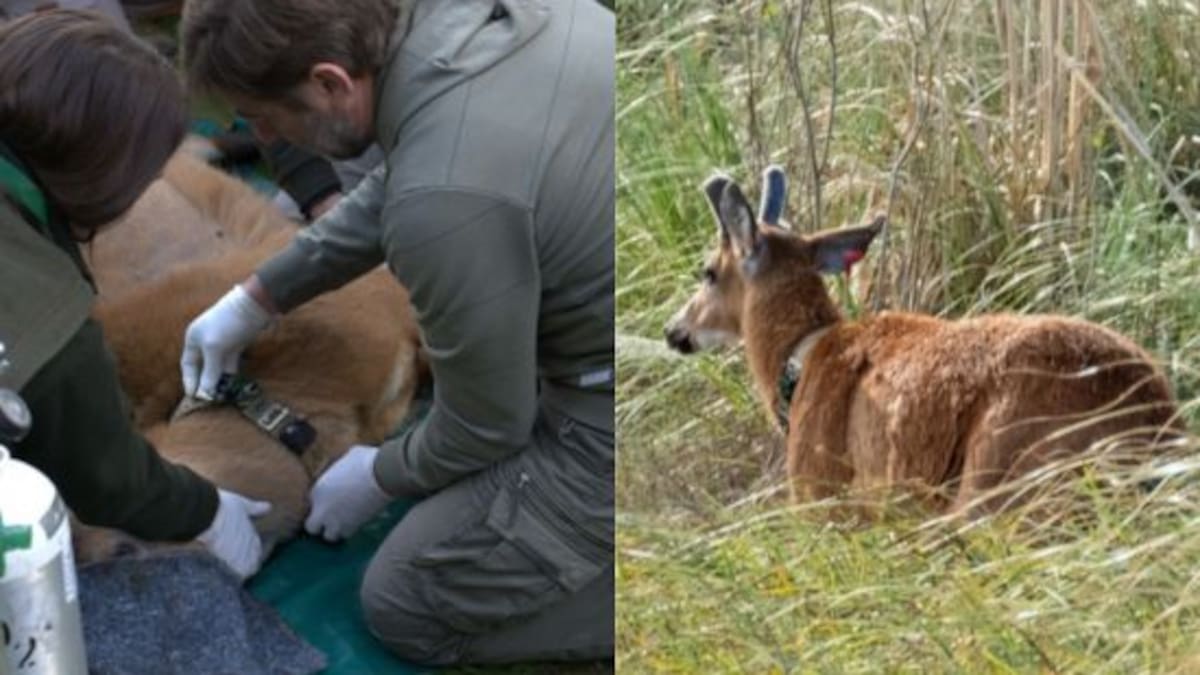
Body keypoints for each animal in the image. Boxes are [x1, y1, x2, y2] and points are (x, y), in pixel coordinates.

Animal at [664, 166, 1181, 515]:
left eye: (708, 271)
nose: (675, 331)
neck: (802, 360)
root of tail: (1149, 420)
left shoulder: (824, 492)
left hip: (998, 482)